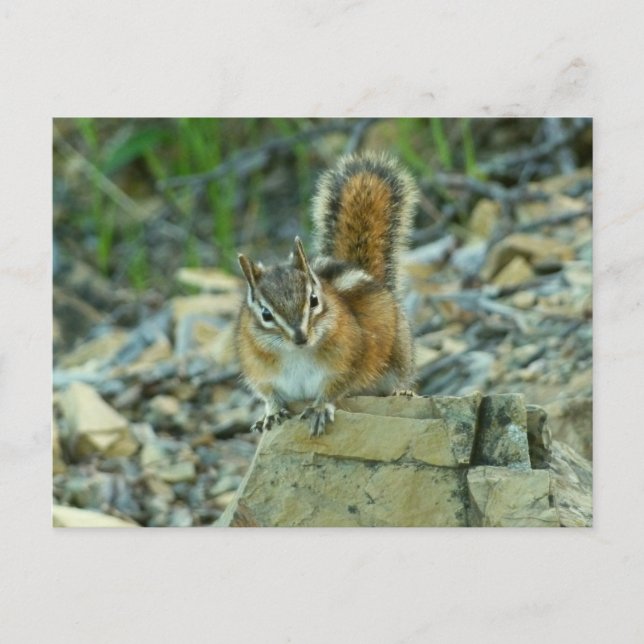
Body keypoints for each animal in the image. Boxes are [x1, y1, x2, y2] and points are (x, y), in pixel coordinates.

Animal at [235, 151, 419, 437]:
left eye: (313, 300)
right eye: (265, 314)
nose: (300, 337)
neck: (296, 354)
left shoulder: (348, 361)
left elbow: (334, 388)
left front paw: (320, 408)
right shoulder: (260, 372)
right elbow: (269, 395)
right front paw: (271, 413)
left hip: (399, 353)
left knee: (400, 377)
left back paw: (402, 391)